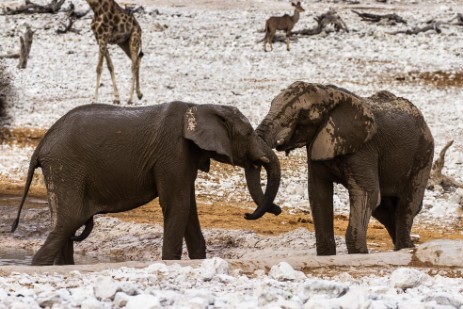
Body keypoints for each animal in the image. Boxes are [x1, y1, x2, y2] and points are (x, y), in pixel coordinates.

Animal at [11, 101, 282, 264]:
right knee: (68, 222)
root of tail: (41, 145)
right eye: (248, 134)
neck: (199, 107)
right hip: (66, 168)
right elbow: (177, 206)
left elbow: (188, 209)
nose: (248, 214)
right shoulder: (173, 153)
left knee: (66, 227)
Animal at [258, 80, 436, 254]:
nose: (276, 210)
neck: (328, 93)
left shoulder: (364, 148)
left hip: (423, 154)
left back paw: (405, 249)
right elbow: (318, 194)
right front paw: (327, 255)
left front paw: (358, 254)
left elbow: (367, 193)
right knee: (384, 209)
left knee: (406, 205)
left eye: (303, 115)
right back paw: (404, 248)